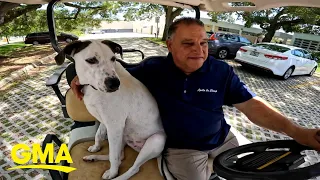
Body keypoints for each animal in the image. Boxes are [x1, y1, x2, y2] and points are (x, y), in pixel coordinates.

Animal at [54, 40, 166, 179]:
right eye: (91, 60)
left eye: (113, 59)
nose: (115, 84)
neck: (94, 90)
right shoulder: (106, 121)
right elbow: (98, 135)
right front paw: (95, 148)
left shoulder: (114, 125)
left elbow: (113, 156)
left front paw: (112, 173)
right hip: (122, 136)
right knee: (120, 157)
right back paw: (93, 157)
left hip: (156, 140)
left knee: (132, 167)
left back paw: (117, 176)